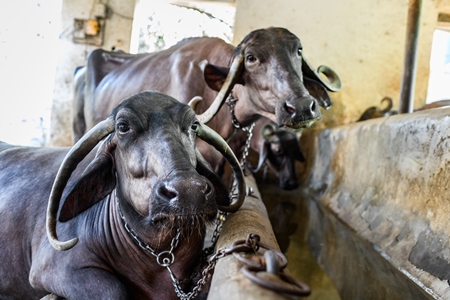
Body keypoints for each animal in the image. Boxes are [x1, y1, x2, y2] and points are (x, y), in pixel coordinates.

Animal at [0, 91, 243, 300]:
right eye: (123, 127)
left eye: (193, 125)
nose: (188, 190)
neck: (157, 256)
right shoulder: (53, 269)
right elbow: (113, 290)